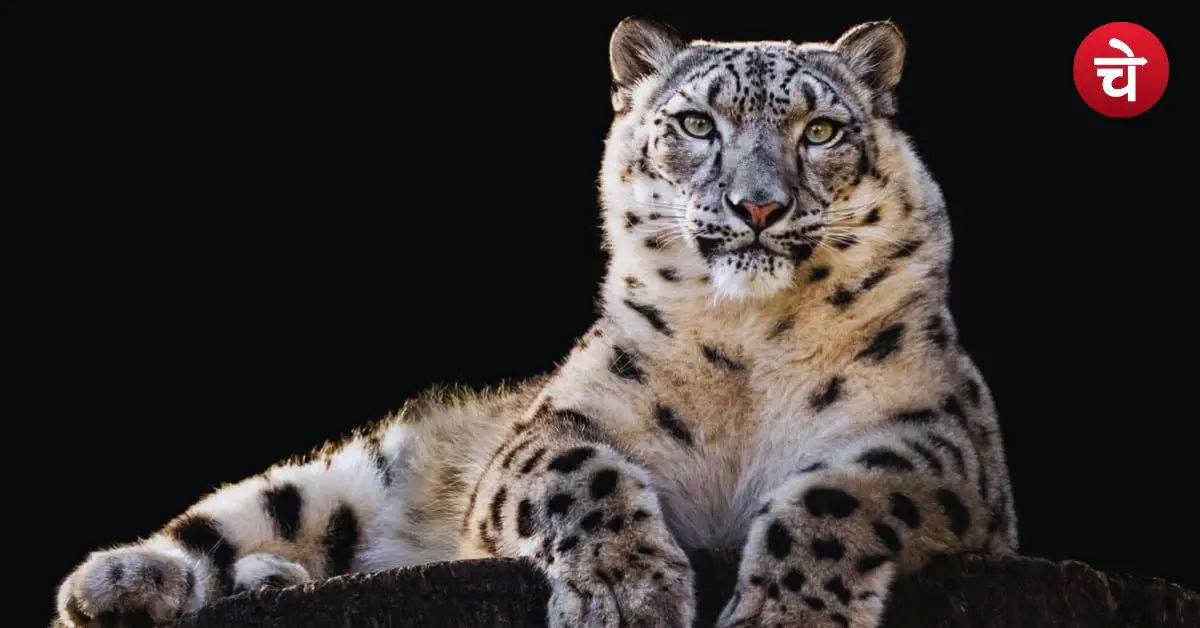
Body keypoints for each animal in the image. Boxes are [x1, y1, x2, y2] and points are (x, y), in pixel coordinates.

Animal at [54, 19, 1016, 628]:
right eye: (696, 123)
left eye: (820, 130)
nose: (758, 205)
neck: (750, 344)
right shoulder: (547, 428)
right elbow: (577, 475)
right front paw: (630, 595)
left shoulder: (938, 443)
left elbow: (841, 494)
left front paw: (787, 612)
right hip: (355, 476)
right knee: (247, 514)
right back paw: (122, 579)